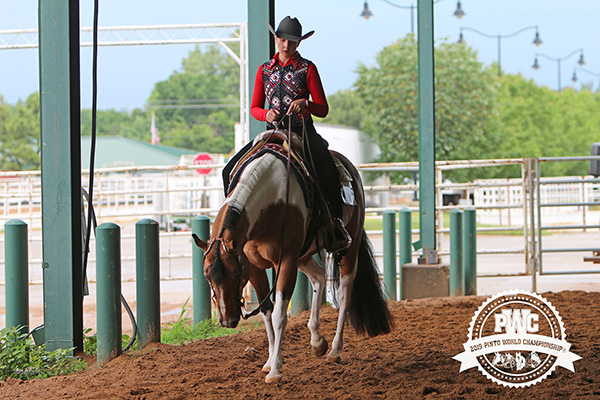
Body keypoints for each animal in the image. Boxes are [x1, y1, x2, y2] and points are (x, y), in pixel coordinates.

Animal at [192, 130, 394, 382]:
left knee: (344, 293)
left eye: (235, 276)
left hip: (349, 246)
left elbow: (279, 315)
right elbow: (267, 311)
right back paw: (317, 341)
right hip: (303, 256)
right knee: (318, 277)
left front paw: (275, 371)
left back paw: (335, 351)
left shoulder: (286, 260)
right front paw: (269, 362)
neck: (272, 198)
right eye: (207, 277)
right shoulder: (255, 266)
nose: (227, 321)